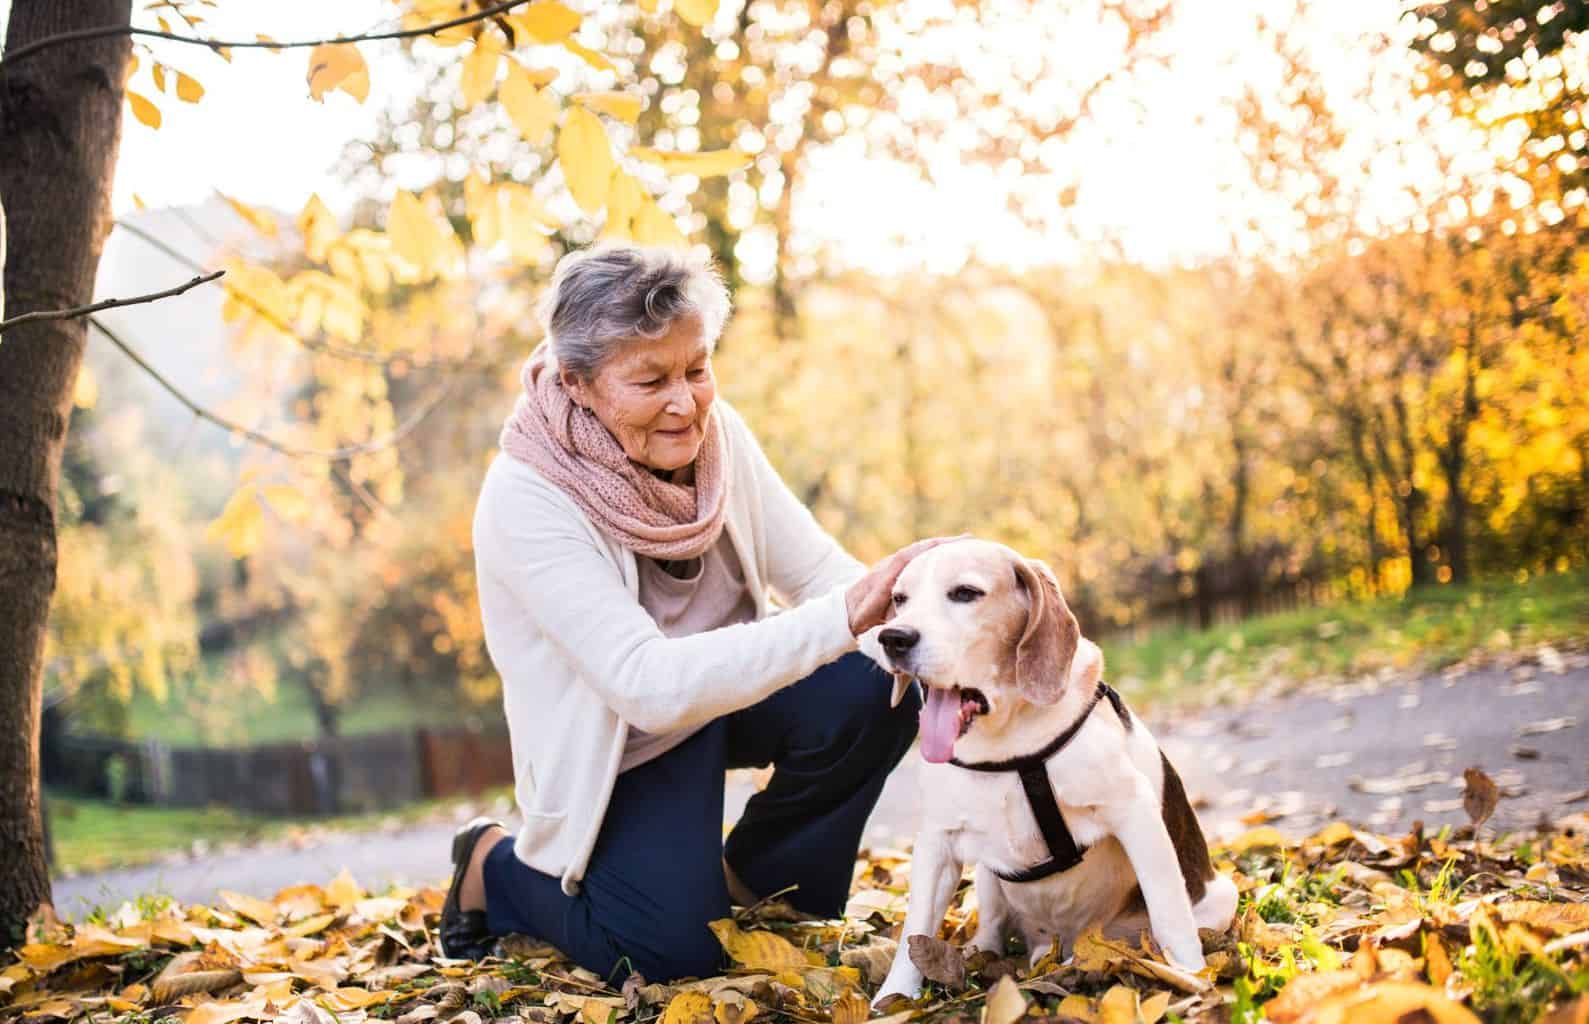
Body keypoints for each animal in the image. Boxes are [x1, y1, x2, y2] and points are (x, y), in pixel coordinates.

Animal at [870, 540, 1226, 1004]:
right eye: (899, 599)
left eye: (965, 593)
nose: (893, 638)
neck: (1007, 747)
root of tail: (1062, 947)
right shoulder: (936, 841)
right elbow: (915, 929)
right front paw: (893, 998)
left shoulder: (1135, 813)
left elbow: (1169, 912)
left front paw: (1190, 979)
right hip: (988, 876)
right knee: (992, 928)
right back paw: (980, 955)